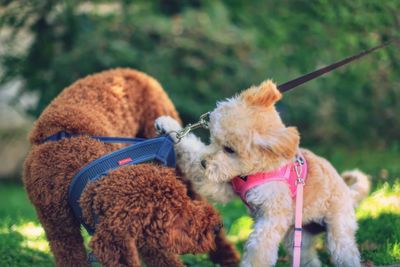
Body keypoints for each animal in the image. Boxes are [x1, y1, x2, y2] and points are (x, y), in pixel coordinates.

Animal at [23, 69, 239, 267]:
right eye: (175, 219)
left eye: (183, 200)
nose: (217, 225)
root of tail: (136, 73)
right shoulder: (60, 231)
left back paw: (227, 257)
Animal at [155, 81, 368, 267]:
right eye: (213, 139)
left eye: (230, 149)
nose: (203, 163)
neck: (256, 170)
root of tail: (347, 192)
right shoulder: (222, 184)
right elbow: (191, 150)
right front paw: (168, 126)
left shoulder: (272, 219)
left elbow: (259, 250)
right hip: (299, 235)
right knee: (307, 257)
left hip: (338, 232)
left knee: (345, 251)